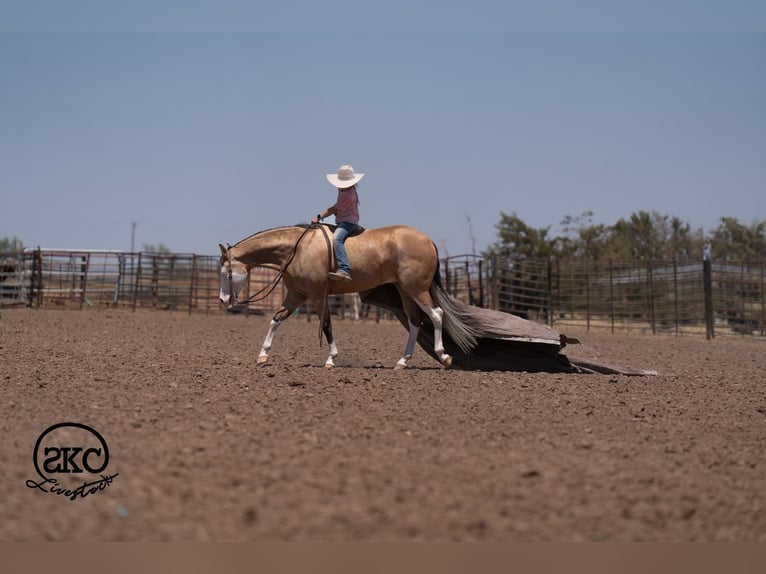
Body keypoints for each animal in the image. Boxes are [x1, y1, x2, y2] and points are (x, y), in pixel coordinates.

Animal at [218, 224, 479, 369]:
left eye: (226, 272)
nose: (223, 301)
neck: (298, 249)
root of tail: (427, 240)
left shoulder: (317, 295)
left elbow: (326, 325)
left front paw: (331, 359)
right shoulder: (296, 295)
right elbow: (276, 319)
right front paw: (262, 355)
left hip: (417, 289)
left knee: (436, 314)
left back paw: (444, 357)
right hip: (405, 291)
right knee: (415, 321)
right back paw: (402, 361)